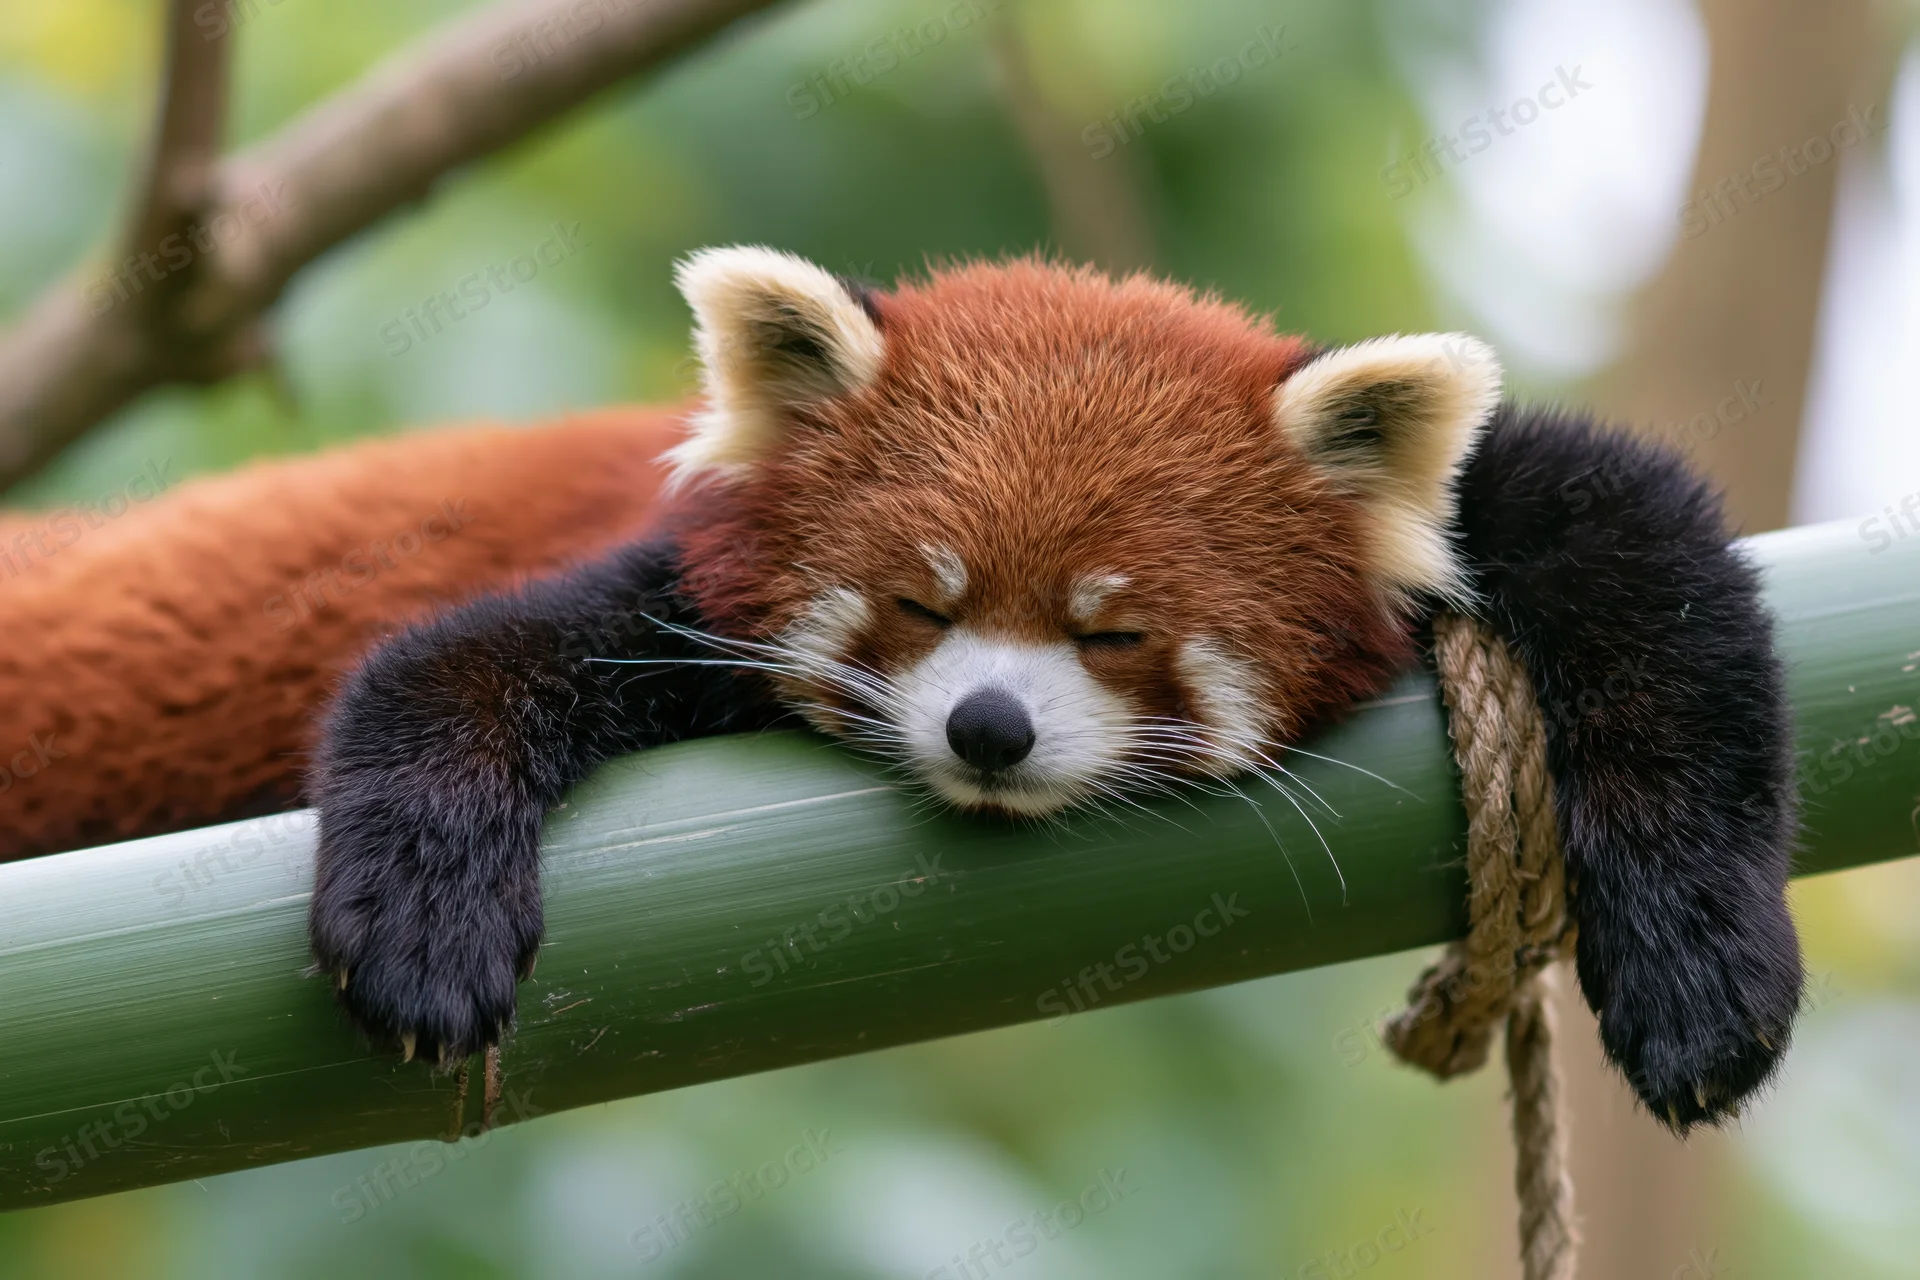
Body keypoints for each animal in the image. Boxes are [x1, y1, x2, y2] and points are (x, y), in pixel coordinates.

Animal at [9, 246, 1803, 1132]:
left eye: (1113, 633)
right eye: (921, 603)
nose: (987, 728)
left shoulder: (1515, 513)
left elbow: (1656, 576)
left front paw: (1702, 976)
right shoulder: (676, 590)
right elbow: (447, 668)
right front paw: (423, 923)